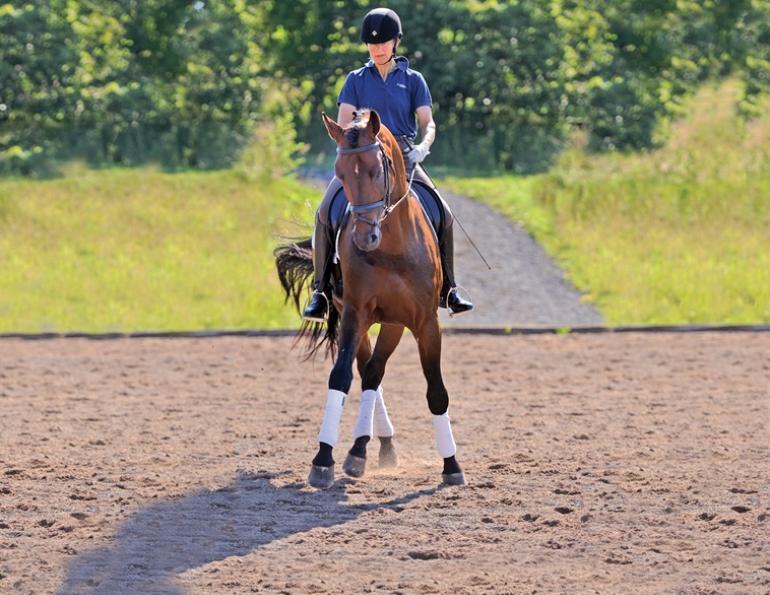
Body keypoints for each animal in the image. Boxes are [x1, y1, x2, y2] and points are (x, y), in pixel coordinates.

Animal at [275, 109, 464, 489]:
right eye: (340, 173)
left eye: (378, 170)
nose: (364, 238)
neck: (392, 247)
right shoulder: (355, 313)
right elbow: (341, 378)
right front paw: (323, 459)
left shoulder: (424, 321)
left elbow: (436, 390)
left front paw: (451, 464)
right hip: (360, 318)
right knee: (367, 371)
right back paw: (363, 448)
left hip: (393, 322)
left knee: (374, 372)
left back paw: (370, 448)